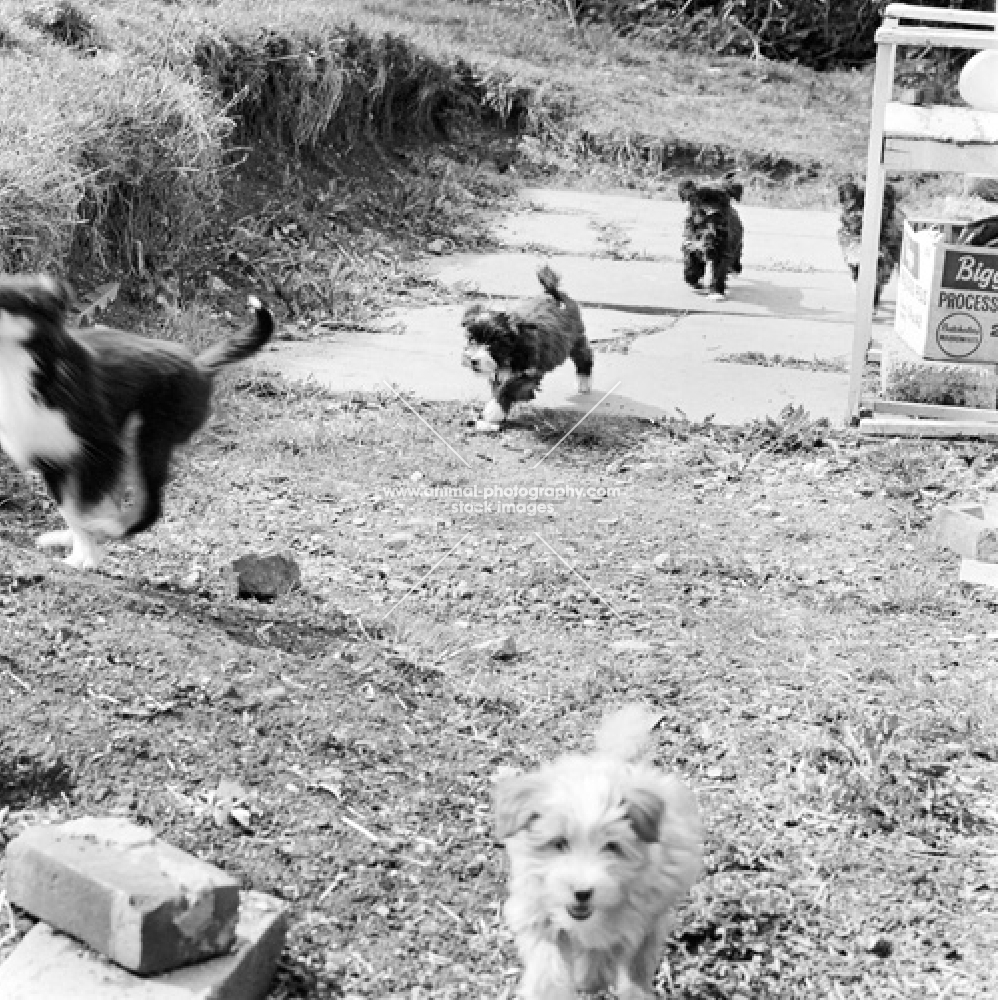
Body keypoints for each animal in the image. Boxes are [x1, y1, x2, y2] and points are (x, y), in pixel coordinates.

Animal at [0, 274, 274, 572]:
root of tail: (199, 366)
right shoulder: (52, 457)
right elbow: (71, 510)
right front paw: (80, 551)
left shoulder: (101, 448)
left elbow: (83, 509)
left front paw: (91, 548)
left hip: (148, 433)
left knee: (149, 506)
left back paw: (110, 526)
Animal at [462, 264, 592, 432]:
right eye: (472, 340)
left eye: (495, 343)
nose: (473, 360)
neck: (513, 351)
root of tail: (554, 293)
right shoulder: (498, 374)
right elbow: (499, 387)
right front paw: (498, 415)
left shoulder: (530, 372)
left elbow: (510, 386)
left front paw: (494, 409)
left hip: (575, 338)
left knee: (584, 354)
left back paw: (584, 380)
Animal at [498, 704, 704, 1000]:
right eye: (559, 843)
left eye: (611, 847)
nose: (582, 892)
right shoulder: (534, 907)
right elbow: (546, 958)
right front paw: (552, 987)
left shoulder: (638, 914)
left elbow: (607, 947)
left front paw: (592, 974)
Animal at [836, 180, 908, 310]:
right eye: (856, 207)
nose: (862, 218)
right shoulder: (853, 259)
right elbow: (857, 275)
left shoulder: (883, 262)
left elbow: (876, 282)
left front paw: (872, 302)